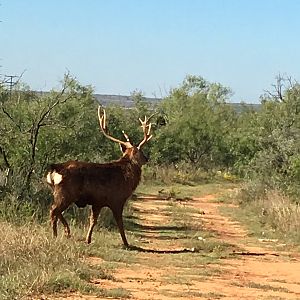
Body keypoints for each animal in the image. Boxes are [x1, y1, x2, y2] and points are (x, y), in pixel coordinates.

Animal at [46, 106, 155, 247]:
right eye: (141, 151)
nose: (146, 158)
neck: (127, 178)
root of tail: (54, 169)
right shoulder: (117, 199)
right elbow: (119, 222)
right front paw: (126, 243)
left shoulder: (98, 201)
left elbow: (93, 220)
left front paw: (88, 239)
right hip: (66, 192)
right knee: (54, 211)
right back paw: (55, 235)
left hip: (59, 193)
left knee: (57, 211)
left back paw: (67, 232)